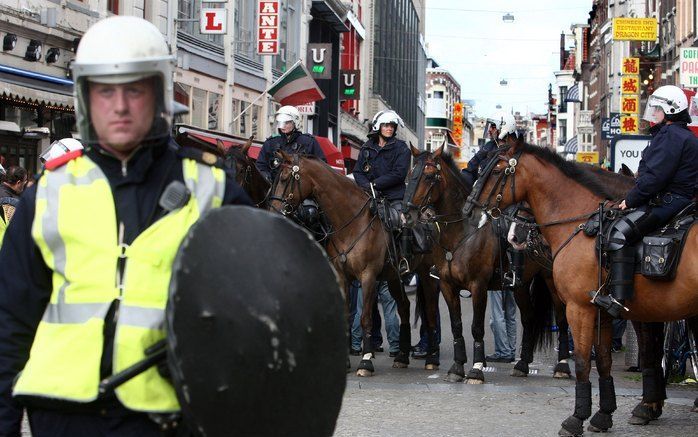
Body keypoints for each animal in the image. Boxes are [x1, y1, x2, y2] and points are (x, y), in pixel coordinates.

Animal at [270, 151, 438, 374]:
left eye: (283, 178)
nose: (271, 211)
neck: (351, 224)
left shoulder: (368, 277)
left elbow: (365, 317)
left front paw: (366, 360)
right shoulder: (342, 277)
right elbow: (348, 316)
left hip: (428, 276)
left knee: (430, 311)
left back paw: (432, 358)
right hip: (394, 278)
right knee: (404, 307)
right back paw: (402, 356)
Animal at [400, 144, 568, 382]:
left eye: (429, 176)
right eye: (410, 175)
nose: (406, 215)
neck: (462, 232)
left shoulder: (478, 286)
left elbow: (476, 327)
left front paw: (476, 368)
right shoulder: (447, 286)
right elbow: (457, 326)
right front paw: (457, 367)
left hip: (552, 281)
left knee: (562, 319)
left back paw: (562, 365)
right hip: (521, 285)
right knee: (528, 318)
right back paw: (522, 364)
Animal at [468, 141, 696, 434]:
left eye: (496, 170)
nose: (471, 210)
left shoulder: (582, 309)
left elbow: (586, 360)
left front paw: (578, 417)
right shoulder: (605, 312)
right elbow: (606, 361)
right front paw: (606, 414)